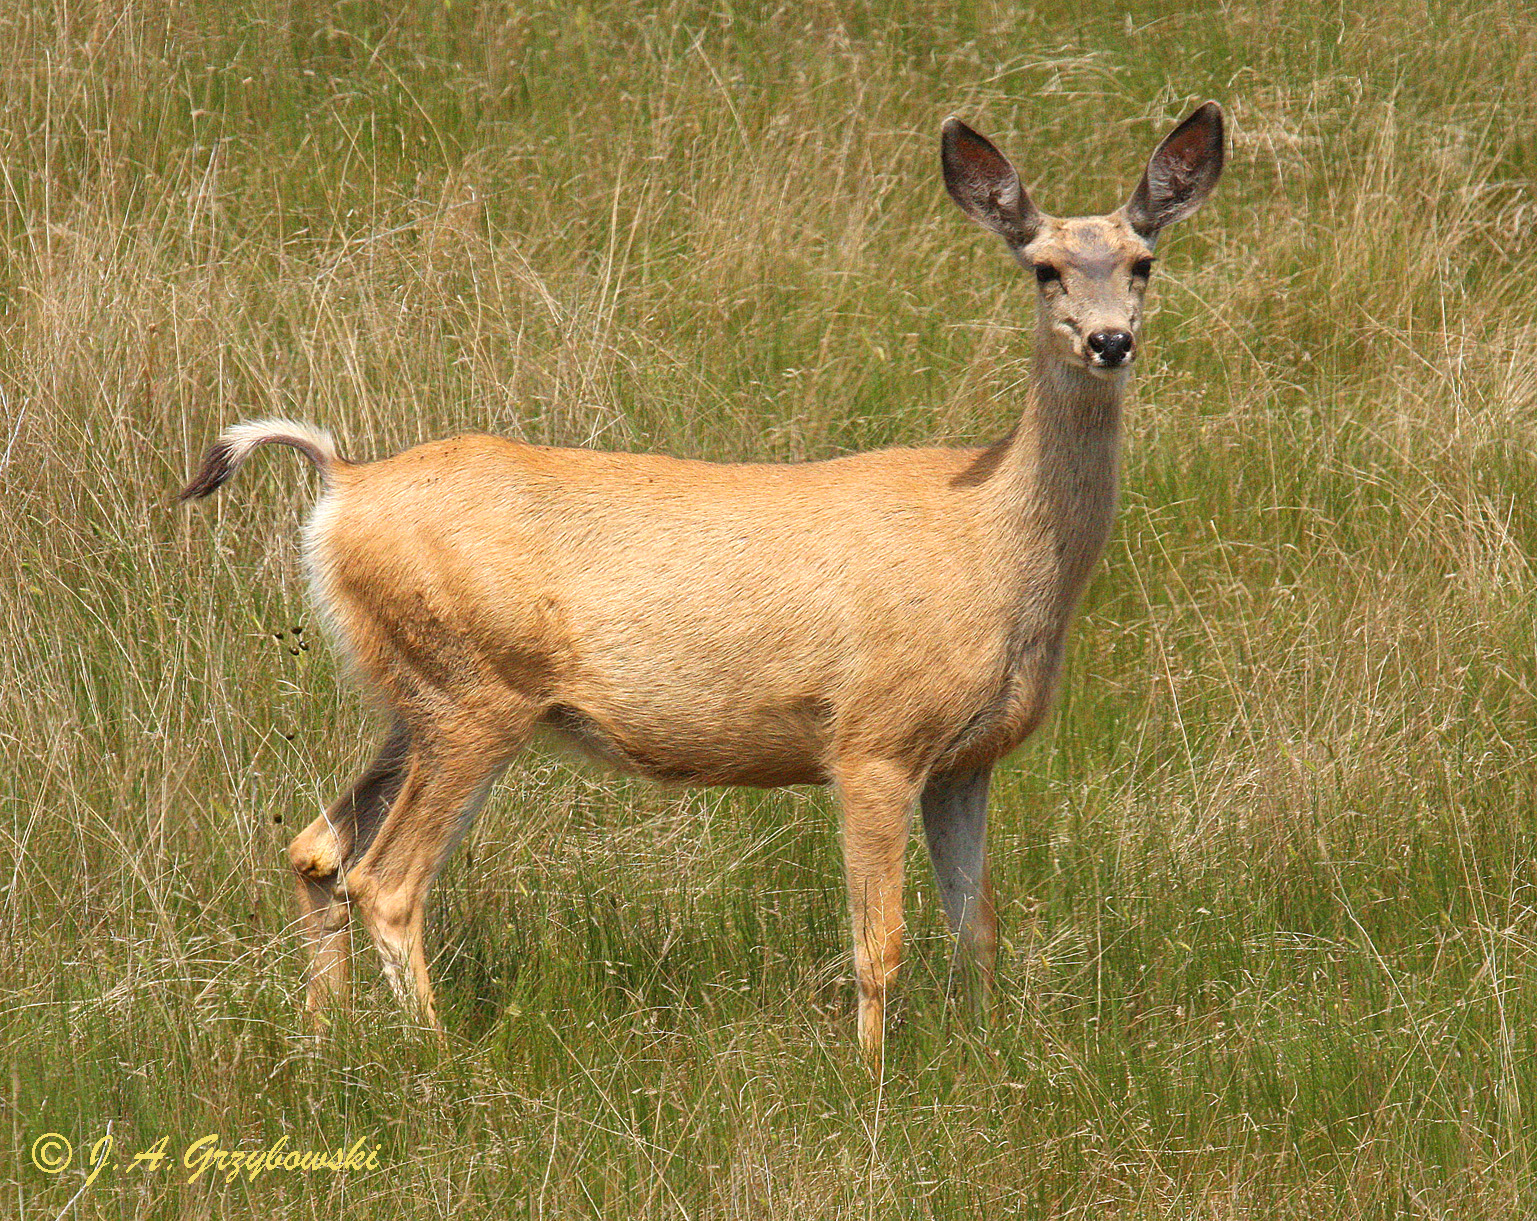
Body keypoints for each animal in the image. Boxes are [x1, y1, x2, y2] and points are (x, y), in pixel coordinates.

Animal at [179, 102, 1223, 1057]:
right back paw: (440, 1060)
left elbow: (979, 930)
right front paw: (872, 1083)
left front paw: (988, 1055)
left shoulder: (968, 757)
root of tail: (342, 486)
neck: (996, 547)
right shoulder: (872, 738)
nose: (1109, 341)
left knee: (317, 847)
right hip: (473, 692)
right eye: (1043, 267)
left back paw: (326, 1040)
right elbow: (879, 943)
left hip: (414, 694)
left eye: (1142, 261)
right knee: (386, 881)